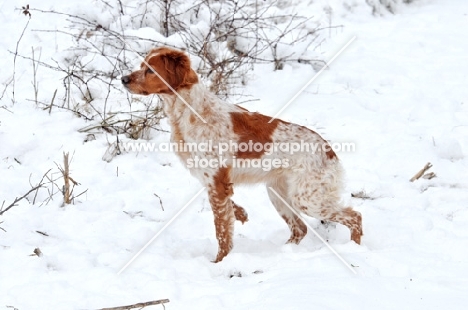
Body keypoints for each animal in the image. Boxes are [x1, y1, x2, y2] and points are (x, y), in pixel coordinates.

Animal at [120, 47, 362, 262]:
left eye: (151, 70)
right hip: (278, 194)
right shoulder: (213, 181)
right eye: (141, 66)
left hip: (306, 199)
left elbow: (222, 231)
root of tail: (329, 150)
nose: (123, 79)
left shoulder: (216, 182)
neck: (190, 113)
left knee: (355, 217)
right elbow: (229, 210)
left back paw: (354, 249)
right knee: (299, 228)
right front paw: (241, 214)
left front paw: (219, 262)